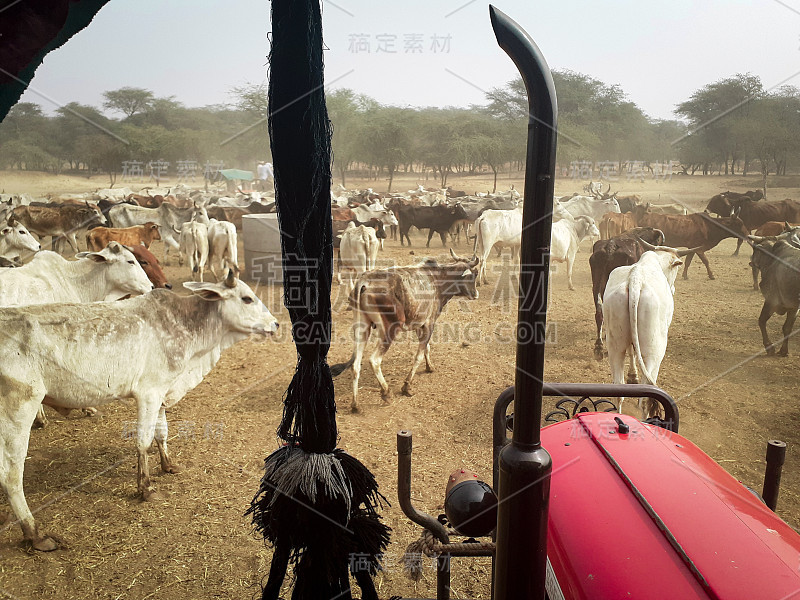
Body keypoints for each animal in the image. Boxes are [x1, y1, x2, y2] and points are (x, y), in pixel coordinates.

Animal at [0, 274, 280, 552]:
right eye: (247, 298)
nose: (276, 323)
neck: (184, 325)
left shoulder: (161, 393)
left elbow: (162, 433)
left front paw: (168, 465)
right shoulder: (149, 392)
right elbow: (143, 442)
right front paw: (145, 488)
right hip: (19, 409)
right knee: (11, 474)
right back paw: (34, 534)